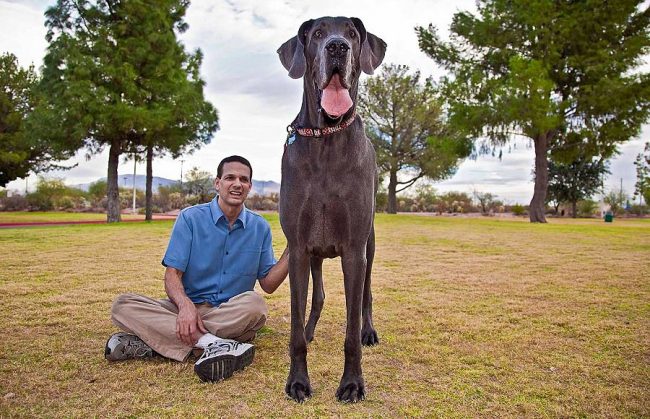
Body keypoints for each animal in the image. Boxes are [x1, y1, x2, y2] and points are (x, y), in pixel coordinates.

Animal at [274, 16, 384, 404]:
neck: (325, 138)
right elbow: (296, 320)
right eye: (318, 34)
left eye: (352, 34)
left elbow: (351, 331)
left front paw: (352, 383)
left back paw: (369, 331)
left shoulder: (353, 249)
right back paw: (310, 330)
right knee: (318, 296)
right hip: (316, 254)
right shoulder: (298, 248)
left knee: (366, 294)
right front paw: (297, 381)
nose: (338, 47)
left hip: (370, 244)